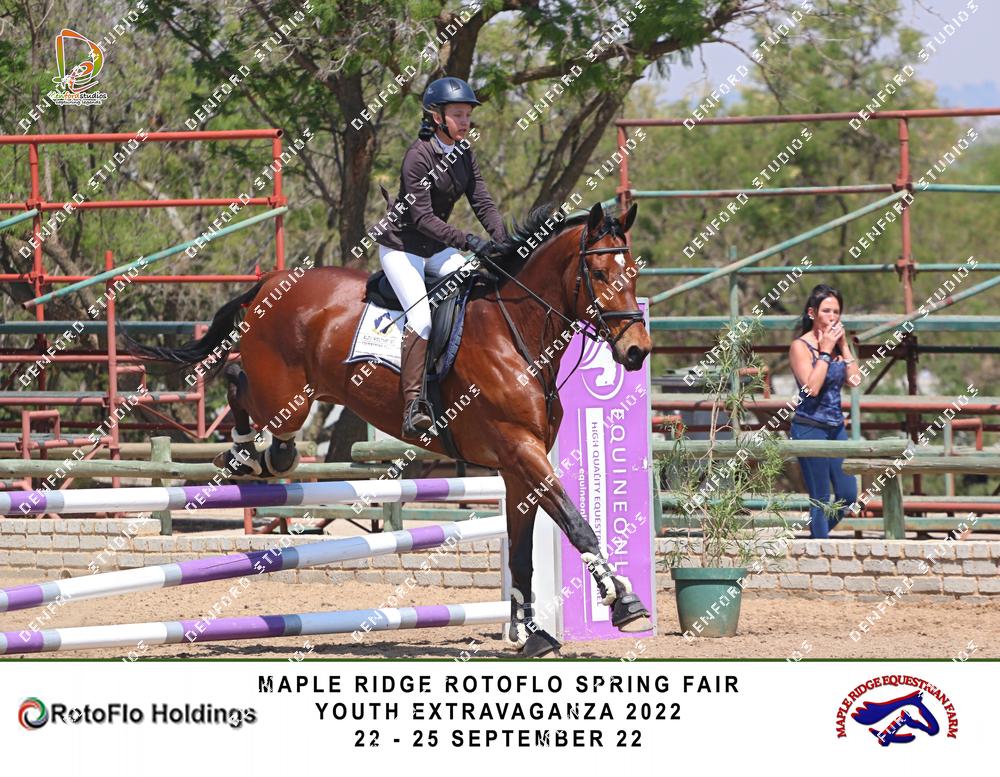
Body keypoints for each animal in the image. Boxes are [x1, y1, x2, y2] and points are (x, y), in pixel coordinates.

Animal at [128, 201, 653, 658]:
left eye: (634, 272)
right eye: (599, 274)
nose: (637, 351)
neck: (516, 333)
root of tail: (270, 281)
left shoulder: (517, 468)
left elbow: (522, 551)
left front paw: (530, 634)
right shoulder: (521, 451)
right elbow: (577, 524)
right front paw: (625, 604)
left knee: (261, 416)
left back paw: (258, 457)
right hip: (286, 397)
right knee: (237, 380)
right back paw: (243, 454)